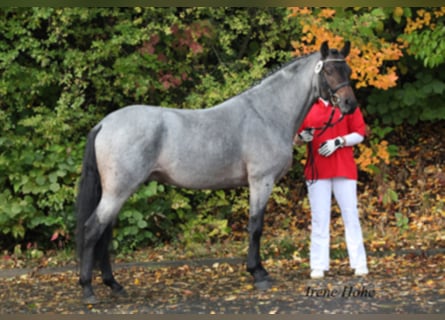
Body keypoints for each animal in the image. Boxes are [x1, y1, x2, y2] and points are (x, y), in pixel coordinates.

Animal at [74, 40, 356, 304]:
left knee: (105, 234)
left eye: (348, 70)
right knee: (92, 230)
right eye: (329, 70)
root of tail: (104, 123)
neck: (266, 114)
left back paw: (114, 285)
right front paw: (258, 274)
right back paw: (88, 289)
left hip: (117, 192)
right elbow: (256, 226)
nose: (349, 104)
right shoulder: (261, 182)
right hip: (118, 191)